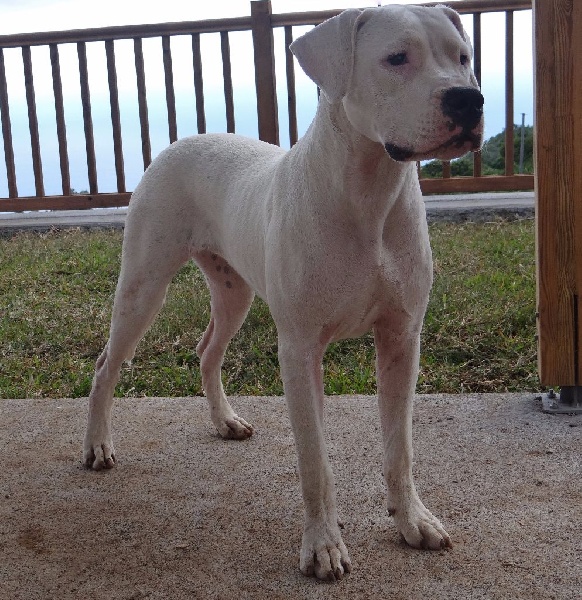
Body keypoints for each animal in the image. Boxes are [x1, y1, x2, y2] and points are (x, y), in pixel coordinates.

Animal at [83, 4, 483, 581]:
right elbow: (315, 460)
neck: (368, 193)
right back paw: (97, 445)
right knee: (106, 366)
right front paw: (323, 545)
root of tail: (182, 140)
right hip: (143, 285)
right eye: (396, 58)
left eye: (463, 57)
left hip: (234, 291)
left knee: (207, 350)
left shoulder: (401, 340)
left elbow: (399, 446)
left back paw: (224, 420)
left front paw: (412, 520)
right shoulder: (300, 350)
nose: (469, 99)